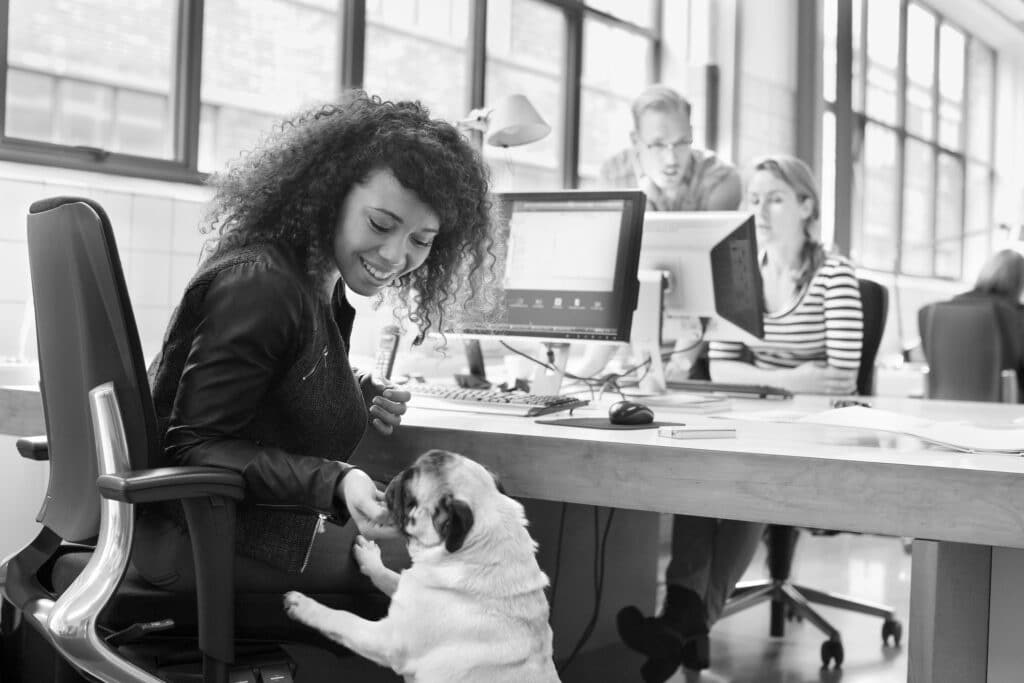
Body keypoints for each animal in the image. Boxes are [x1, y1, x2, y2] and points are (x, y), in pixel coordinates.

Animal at [282, 450, 561, 679]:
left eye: (408, 493)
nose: (396, 477)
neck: (478, 551)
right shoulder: (412, 587)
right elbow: (388, 577)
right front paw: (370, 559)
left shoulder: (387, 639)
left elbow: (342, 619)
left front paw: (304, 606)